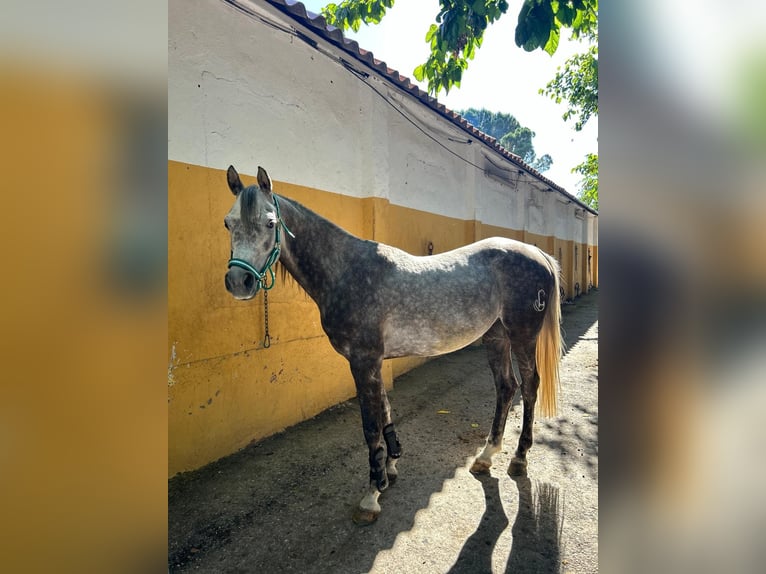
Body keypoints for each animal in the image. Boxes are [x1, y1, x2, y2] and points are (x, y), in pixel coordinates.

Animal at [222, 165, 564, 528]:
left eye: (270, 223)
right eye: (228, 223)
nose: (238, 282)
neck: (346, 271)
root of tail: (538, 254)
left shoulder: (363, 361)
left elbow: (370, 426)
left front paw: (372, 496)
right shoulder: (373, 362)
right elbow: (385, 411)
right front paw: (390, 468)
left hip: (522, 337)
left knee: (529, 386)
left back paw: (519, 459)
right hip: (496, 337)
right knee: (505, 386)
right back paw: (486, 456)